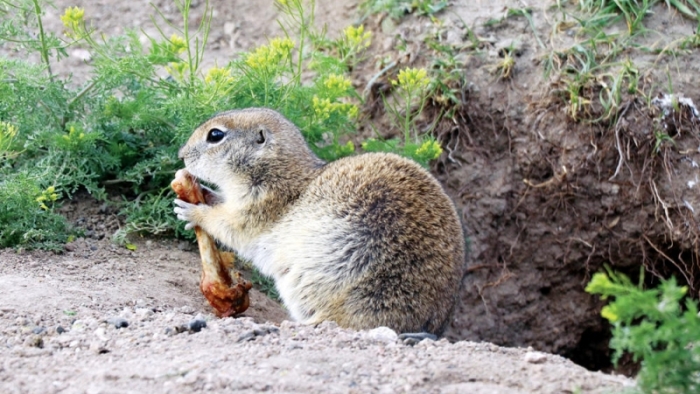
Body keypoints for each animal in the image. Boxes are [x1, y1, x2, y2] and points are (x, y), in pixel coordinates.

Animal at [174, 107, 464, 336]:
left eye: (215, 135)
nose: (181, 154)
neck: (278, 171)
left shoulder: (258, 207)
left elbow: (230, 226)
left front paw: (191, 210)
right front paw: (203, 193)